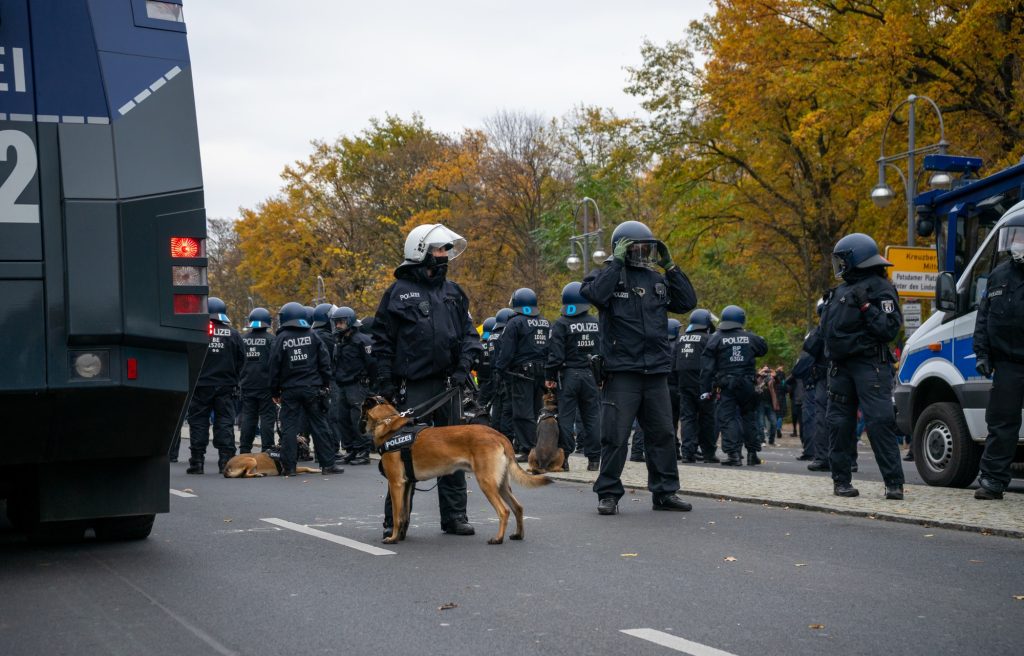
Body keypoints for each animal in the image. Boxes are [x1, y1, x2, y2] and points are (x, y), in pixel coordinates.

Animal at [362, 397, 552, 544]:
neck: (389, 424)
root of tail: (499, 435)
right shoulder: (407, 484)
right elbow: (404, 514)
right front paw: (401, 536)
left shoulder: (396, 484)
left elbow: (396, 515)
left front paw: (393, 538)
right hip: (501, 485)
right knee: (518, 507)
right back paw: (518, 534)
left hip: (487, 483)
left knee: (504, 511)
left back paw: (498, 539)